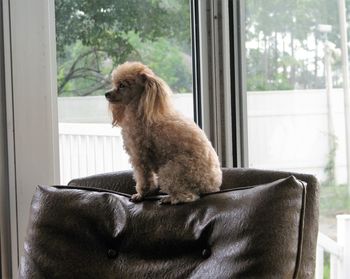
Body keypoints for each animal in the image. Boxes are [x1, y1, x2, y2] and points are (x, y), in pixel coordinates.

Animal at [105, 61, 223, 206]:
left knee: (189, 196)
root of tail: (211, 187)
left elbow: (143, 177)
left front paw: (141, 194)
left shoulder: (139, 155)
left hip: (170, 171)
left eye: (122, 85)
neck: (140, 108)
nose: (106, 94)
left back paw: (170, 198)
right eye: (115, 84)